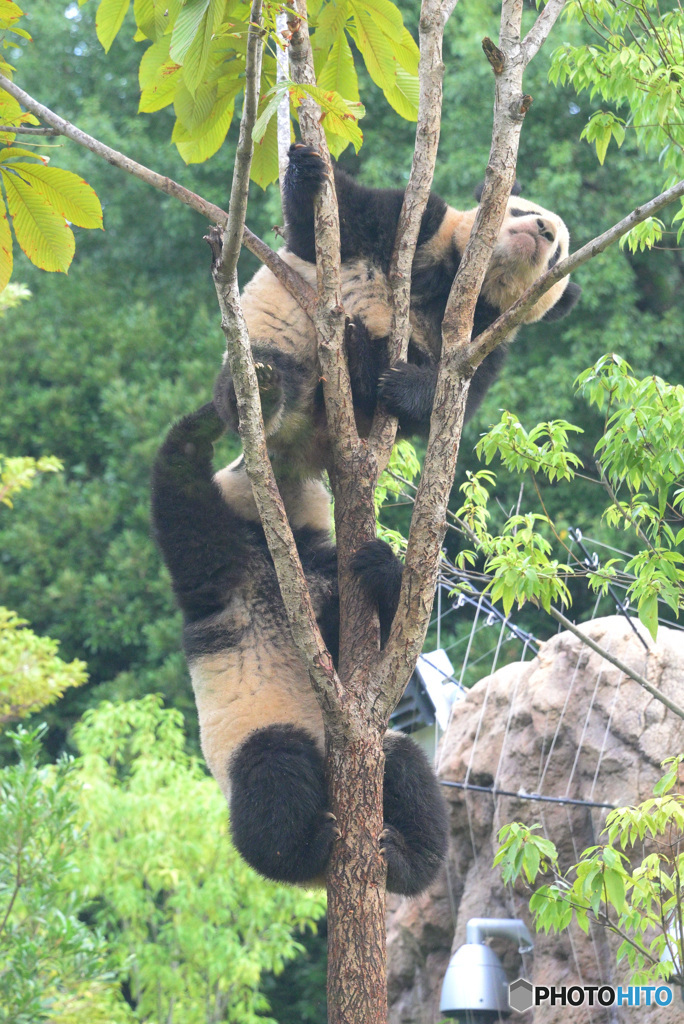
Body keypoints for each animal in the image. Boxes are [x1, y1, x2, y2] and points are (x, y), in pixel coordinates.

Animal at [215, 144, 581, 475]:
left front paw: (400, 383)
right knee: (258, 373)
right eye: (521, 212)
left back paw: (360, 355)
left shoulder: (488, 339)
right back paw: (267, 391)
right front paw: (306, 169)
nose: (544, 230)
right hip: (276, 332)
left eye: (557, 256)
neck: (450, 276)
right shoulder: (420, 222)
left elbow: (453, 400)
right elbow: (329, 228)